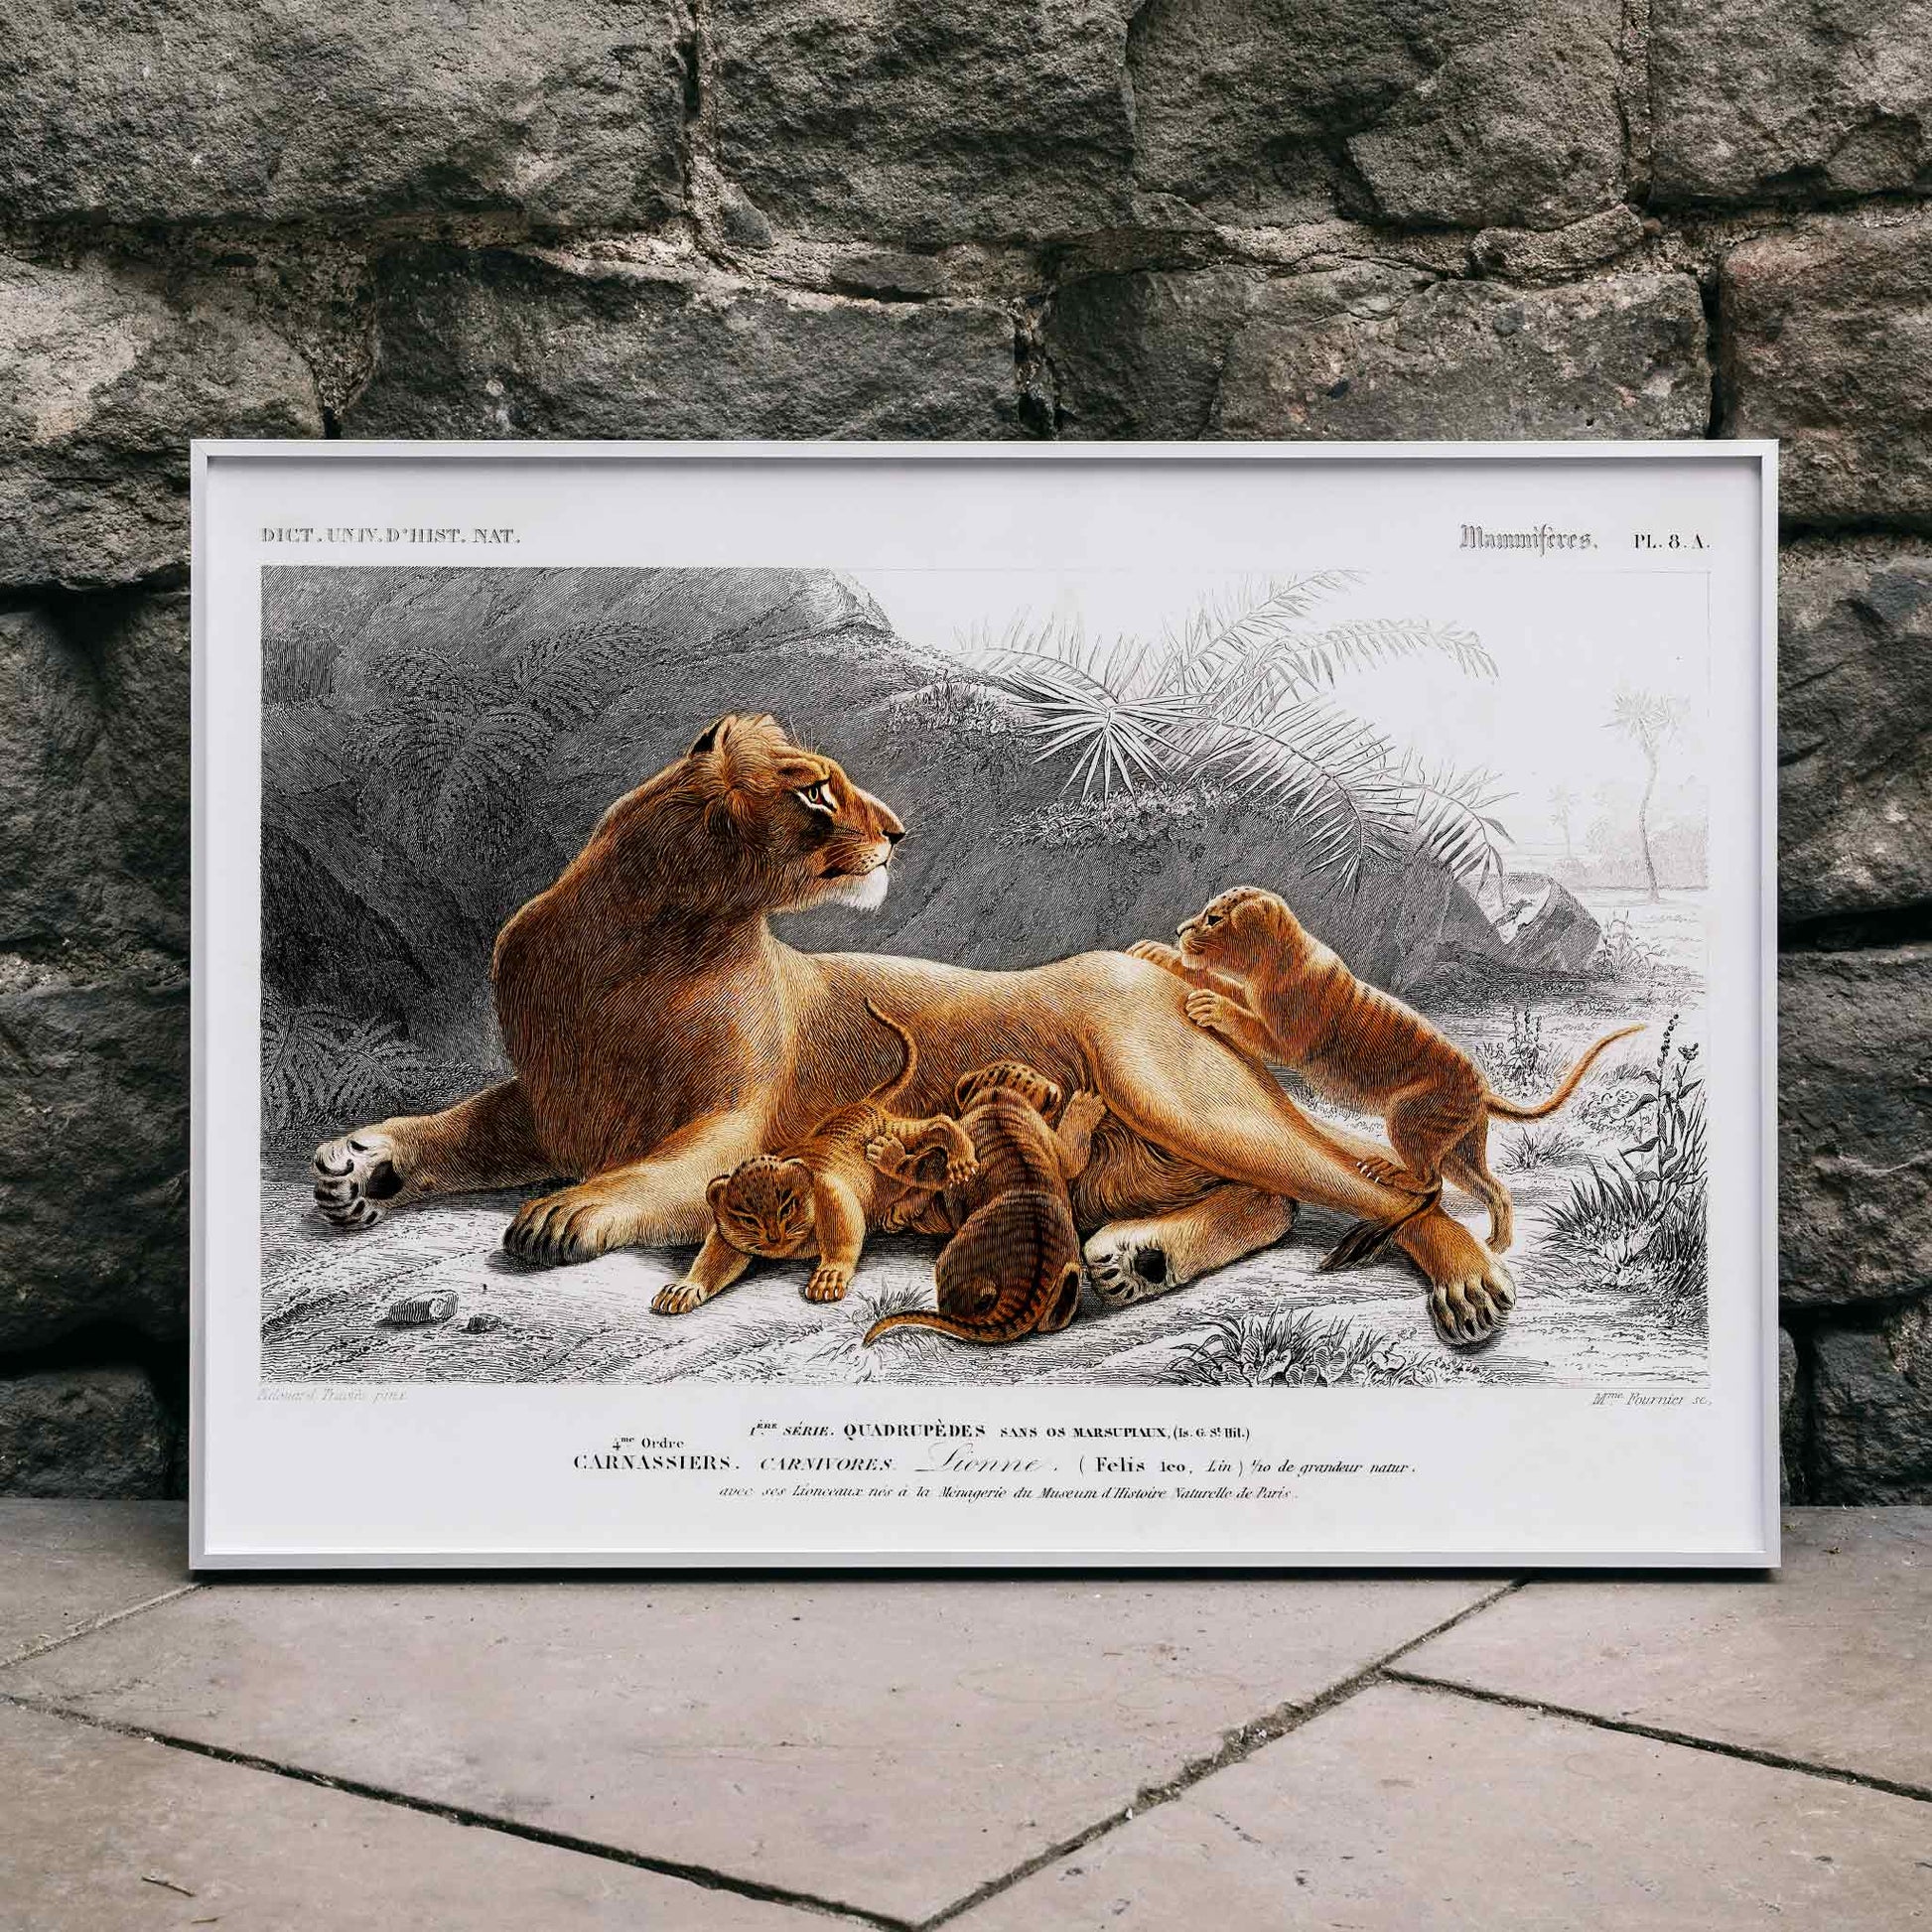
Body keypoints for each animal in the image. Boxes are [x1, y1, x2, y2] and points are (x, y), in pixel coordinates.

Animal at [311, 713, 1517, 1346]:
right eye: (813, 790)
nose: (896, 830)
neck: (644, 932)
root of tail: (1158, 964)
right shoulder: (553, 1102)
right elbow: (458, 1125)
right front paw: (361, 1167)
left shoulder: (728, 1125)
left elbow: (650, 1174)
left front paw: (565, 1213)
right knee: (1272, 1201)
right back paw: (1137, 1259)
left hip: (1178, 1093)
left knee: (1370, 1191)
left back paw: (1464, 1286)